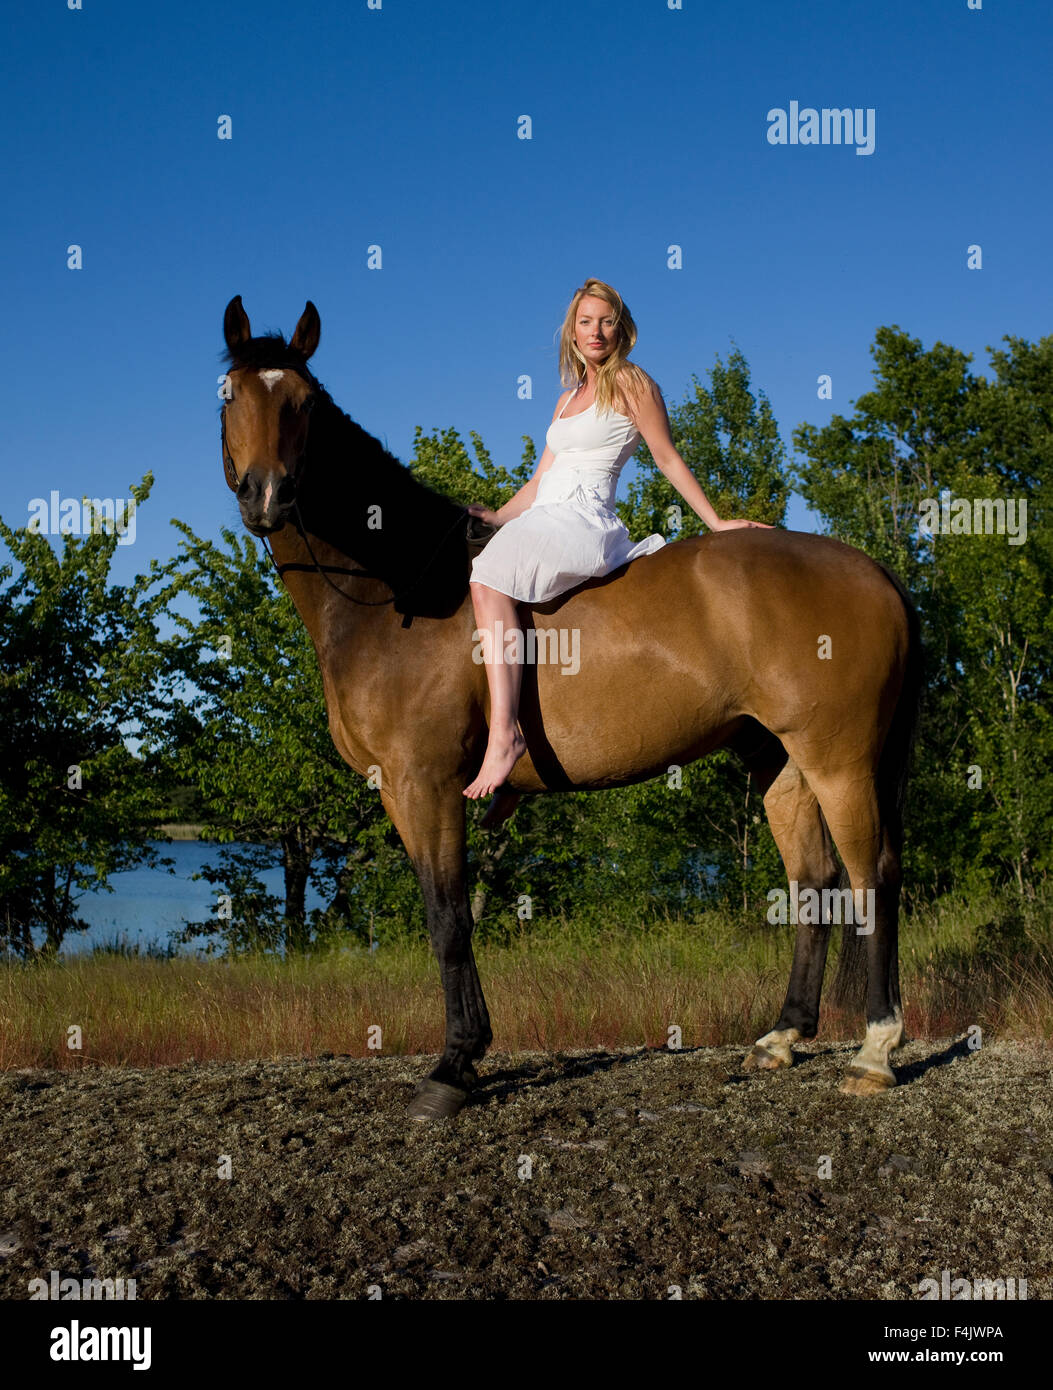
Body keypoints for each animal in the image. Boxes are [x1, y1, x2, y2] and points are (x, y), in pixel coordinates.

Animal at [218, 295, 922, 1121]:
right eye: (230, 396)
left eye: (302, 402)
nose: (266, 497)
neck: (403, 588)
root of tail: (873, 570)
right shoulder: (401, 790)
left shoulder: (422, 784)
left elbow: (448, 917)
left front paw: (454, 1065)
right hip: (777, 759)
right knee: (812, 880)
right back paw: (781, 1037)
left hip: (837, 758)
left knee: (872, 874)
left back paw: (875, 1049)